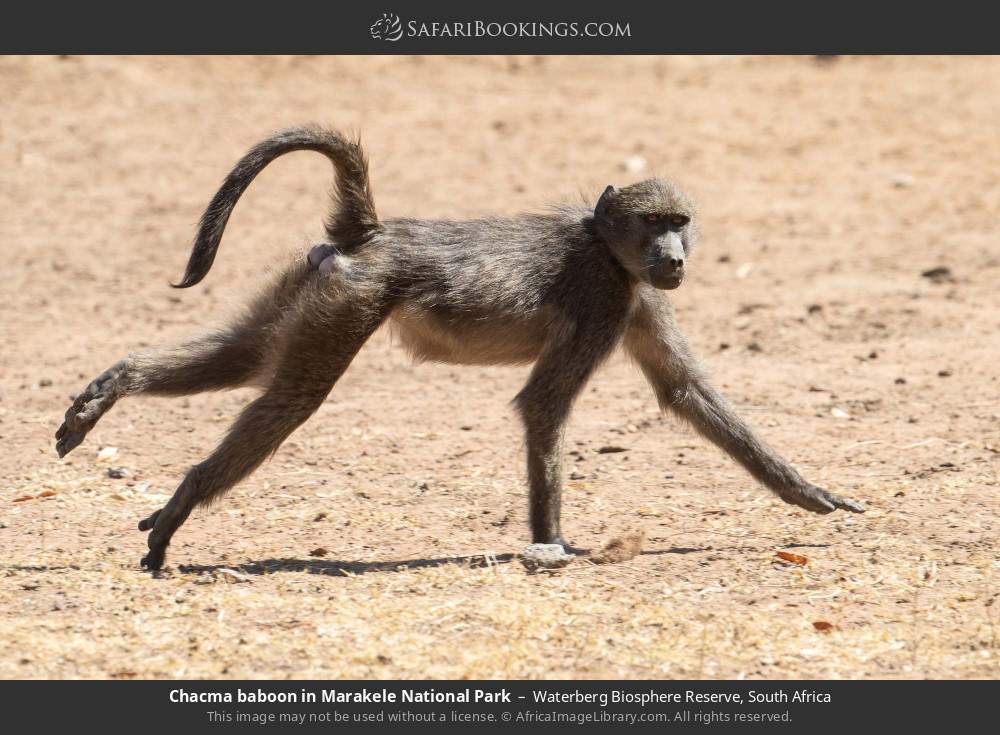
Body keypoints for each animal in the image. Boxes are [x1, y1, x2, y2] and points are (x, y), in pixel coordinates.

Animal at [55, 126, 865, 571]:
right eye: (653, 222)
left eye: (680, 222)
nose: (673, 257)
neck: (606, 244)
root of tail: (373, 233)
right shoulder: (605, 297)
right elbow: (543, 404)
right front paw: (552, 542)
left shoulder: (638, 296)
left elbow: (687, 394)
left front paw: (808, 494)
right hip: (351, 300)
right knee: (291, 395)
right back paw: (184, 501)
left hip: (317, 285)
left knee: (248, 357)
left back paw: (105, 392)